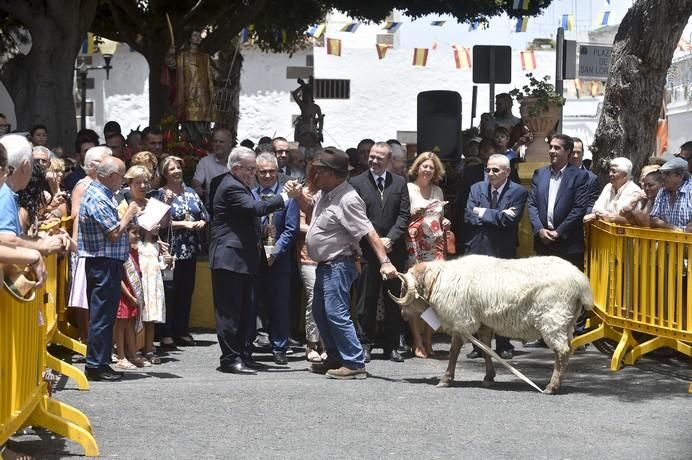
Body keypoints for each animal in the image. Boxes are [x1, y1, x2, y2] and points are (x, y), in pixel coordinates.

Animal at [390, 253, 596, 394]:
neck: (438, 279)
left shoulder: (461, 320)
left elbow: (454, 351)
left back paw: (551, 387)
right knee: (567, 350)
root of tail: (580, 281)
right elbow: (486, 349)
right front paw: (489, 377)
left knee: (562, 351)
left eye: (403, 287)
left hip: (553, 319)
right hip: (566, 321)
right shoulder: (483, 323)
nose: (402, 315)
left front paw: (445, 379)